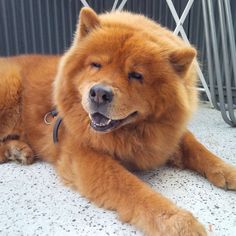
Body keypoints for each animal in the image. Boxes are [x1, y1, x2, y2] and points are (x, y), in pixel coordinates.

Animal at [0, 6, 236, 234]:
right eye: (96, 65)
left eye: (136, 75)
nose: (99, 93)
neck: (132, 132)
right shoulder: (86, 155)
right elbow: (133, 188)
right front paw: (178, 222)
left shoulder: (168, 136)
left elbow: (197, 148)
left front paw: (227, 171)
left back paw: (19, 150)